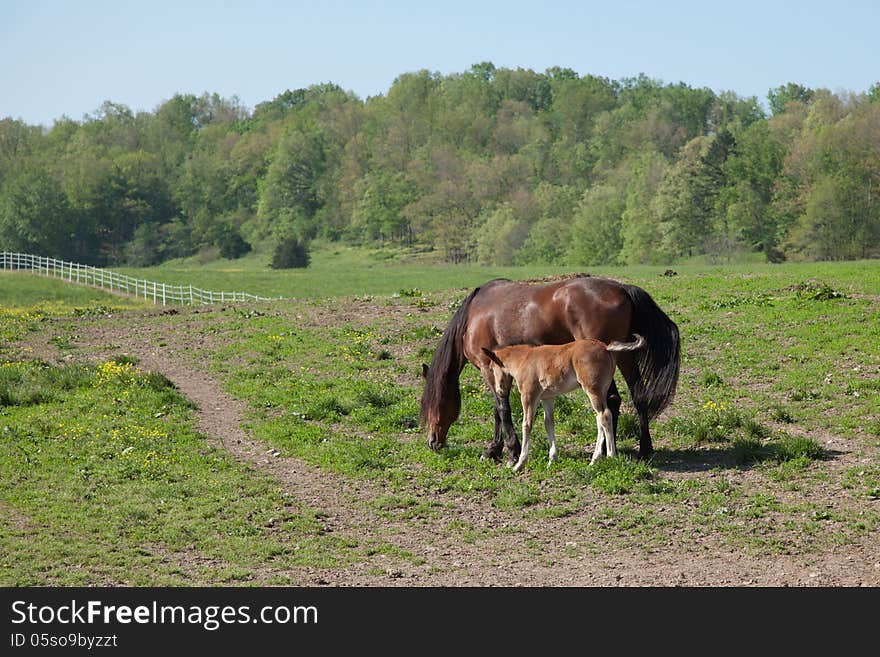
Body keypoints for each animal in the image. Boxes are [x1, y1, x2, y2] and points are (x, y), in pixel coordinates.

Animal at [482, 334, 648, 472]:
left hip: (593, 390)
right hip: (600, 391)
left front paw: (519, 464)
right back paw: (595, 460)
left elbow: (527, 424)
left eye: (491, 368)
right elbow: (549, 423)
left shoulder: (529, 396)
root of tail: (605, 347)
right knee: (600, 418)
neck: (524, 359)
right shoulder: (547, 398)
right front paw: (552, 459)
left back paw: (610, 456)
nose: (500, 391)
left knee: (604, 416)